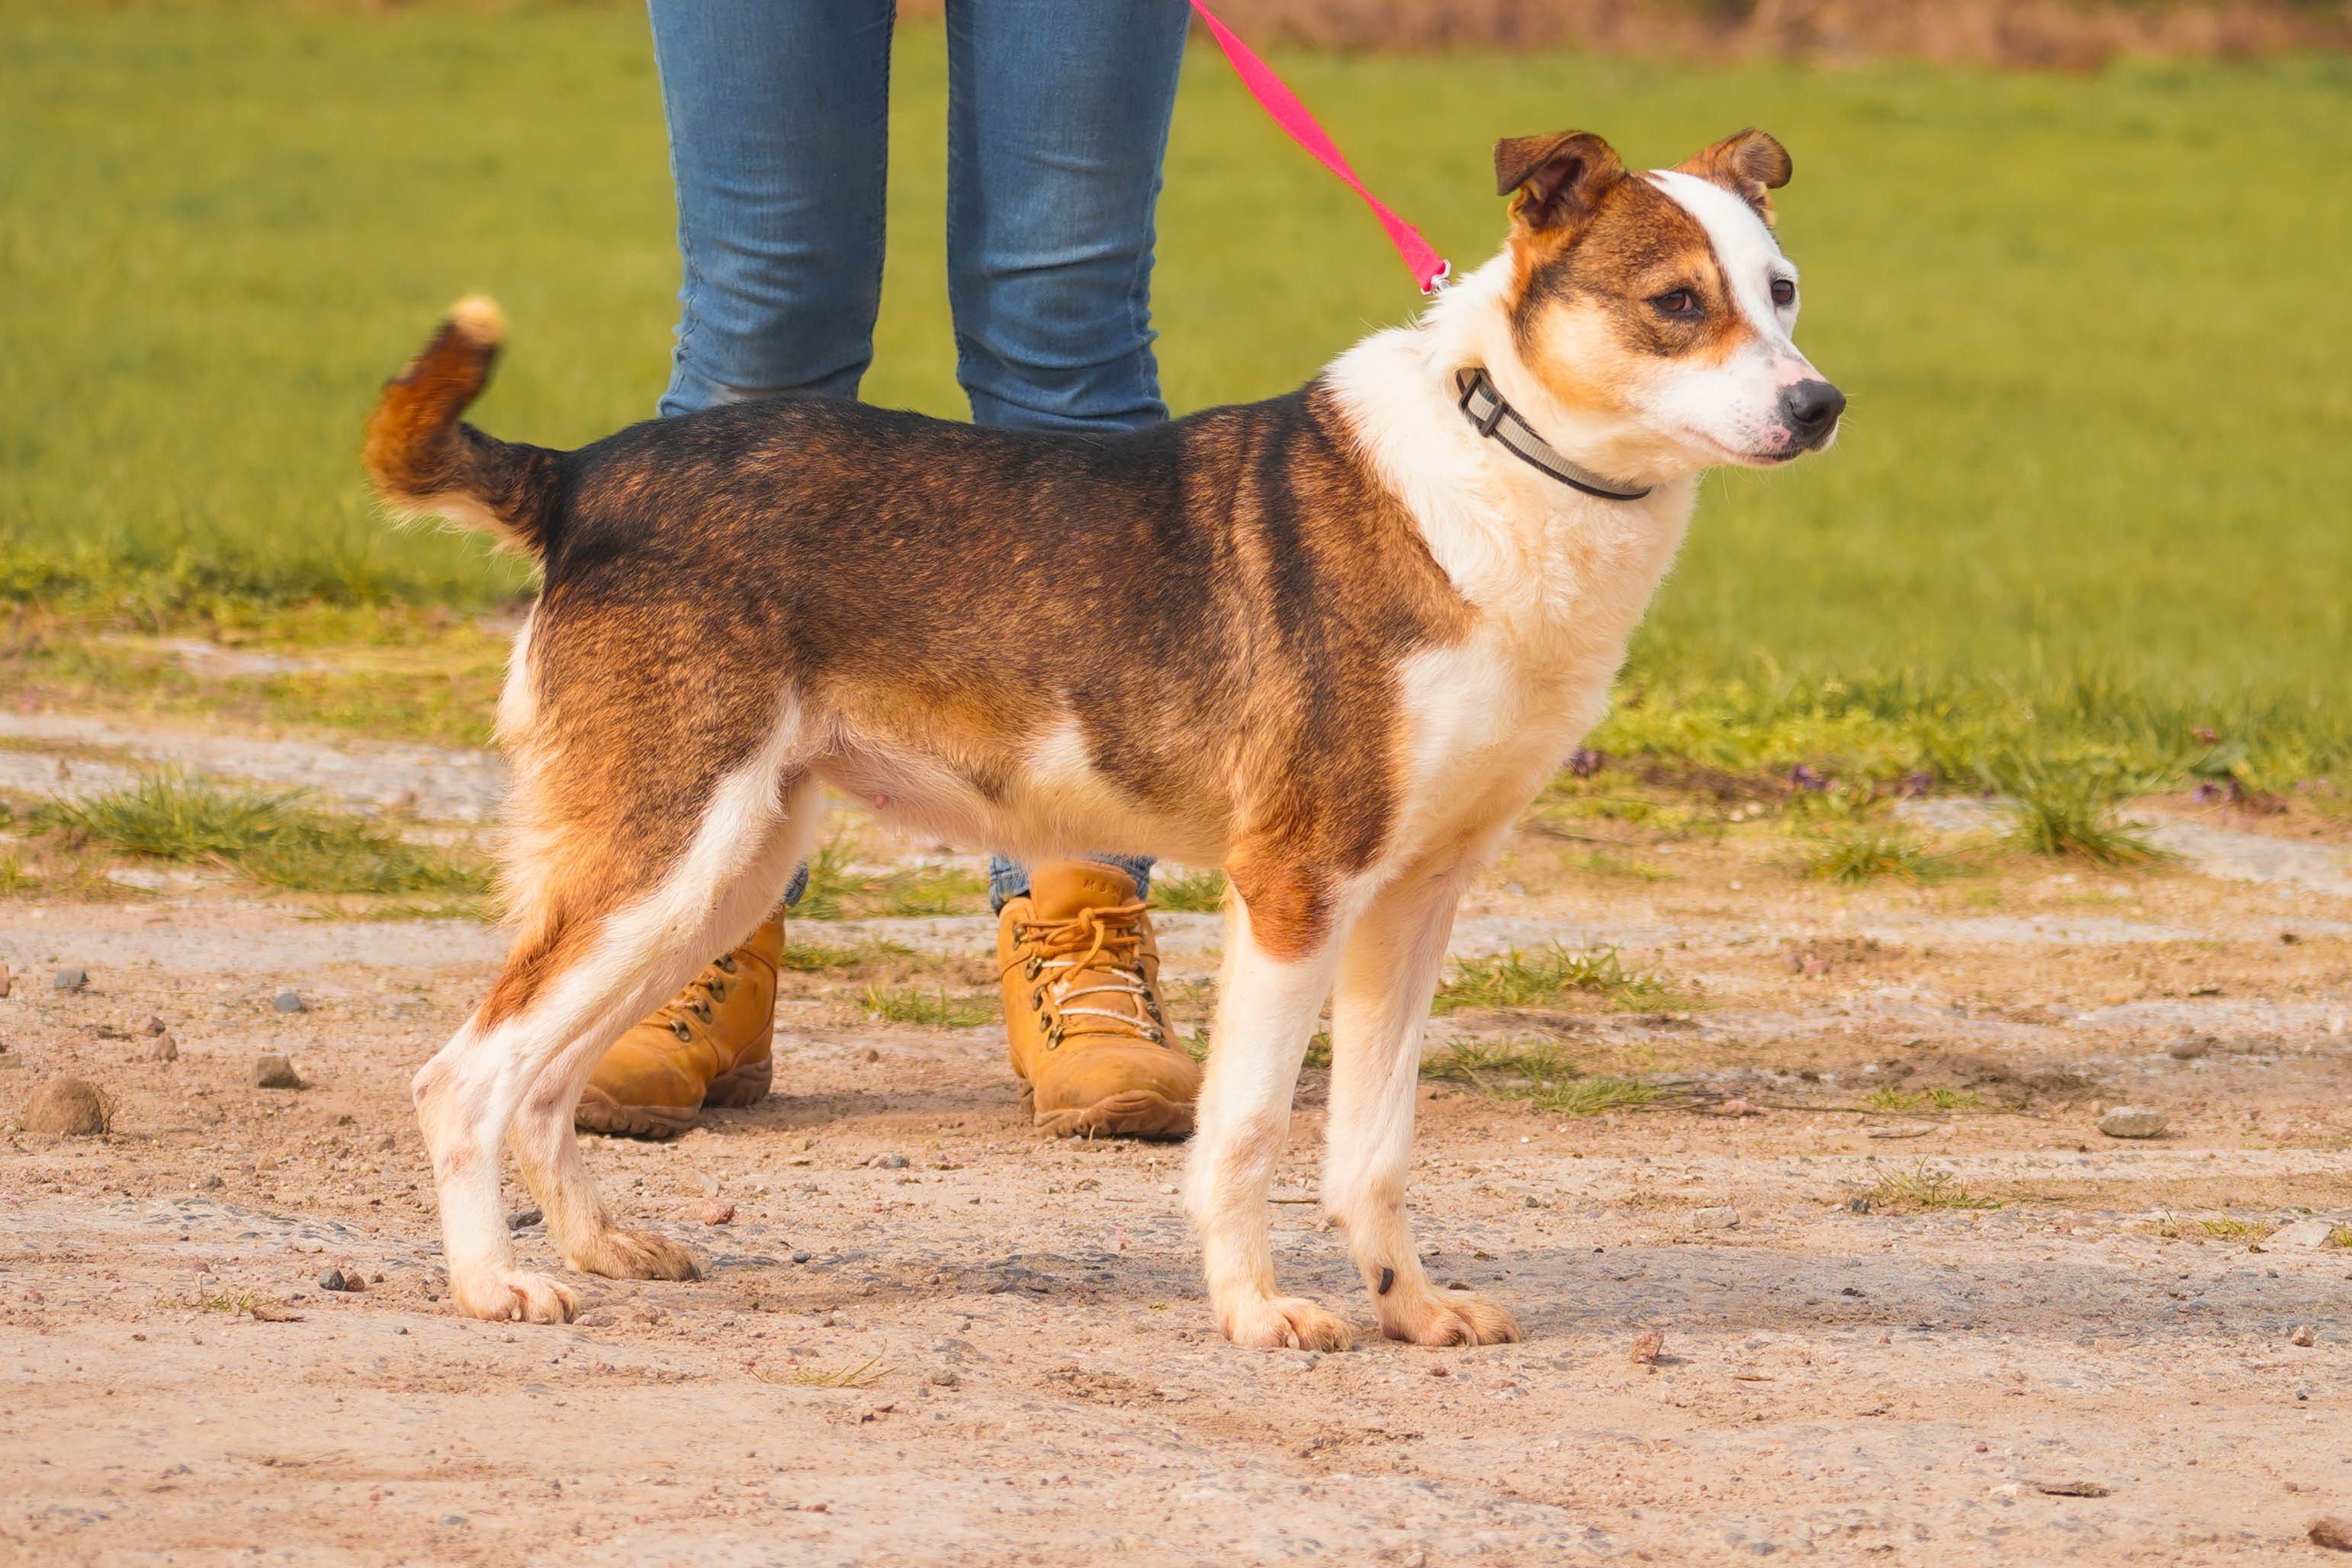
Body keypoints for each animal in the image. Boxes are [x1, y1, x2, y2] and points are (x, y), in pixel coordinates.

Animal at [361, 125, 1834, 1354]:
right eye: (1675, 303)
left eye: (1781, 291)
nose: (1820, 408)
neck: (1503, 460)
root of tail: (580, 478)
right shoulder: (1295, 888)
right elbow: (1247, 1128)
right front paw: (1254, 1312)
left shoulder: (1414, 901)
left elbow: (1375, 1147)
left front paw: (1409, 1308)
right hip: (669, 851)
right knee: (462, 1076)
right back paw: (494, 1284)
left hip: (716, 871)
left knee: (543, 1078)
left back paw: (600, 1244)